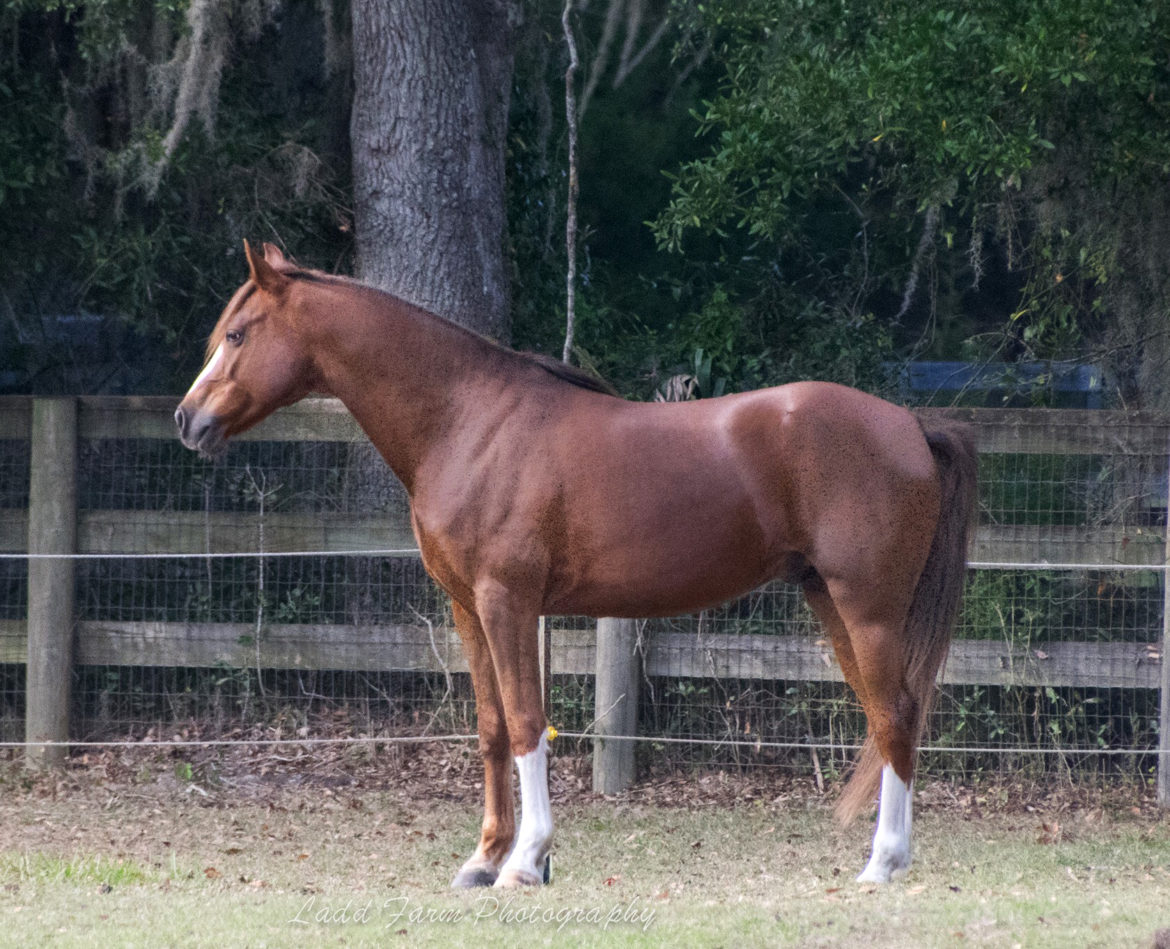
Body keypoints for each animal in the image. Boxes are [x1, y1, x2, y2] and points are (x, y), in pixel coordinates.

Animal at [175, 243, 978, 889]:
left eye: (238, 334)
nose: (187, 420)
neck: (468, 421)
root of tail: (911, 425)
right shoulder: (468, 607)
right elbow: (492, 726)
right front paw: (484, 858)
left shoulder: (507, 601)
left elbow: (529, 724)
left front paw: (527, 861)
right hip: (828, 602)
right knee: (887, 717)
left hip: (868, 608)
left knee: (896, 714)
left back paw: (881, 864)